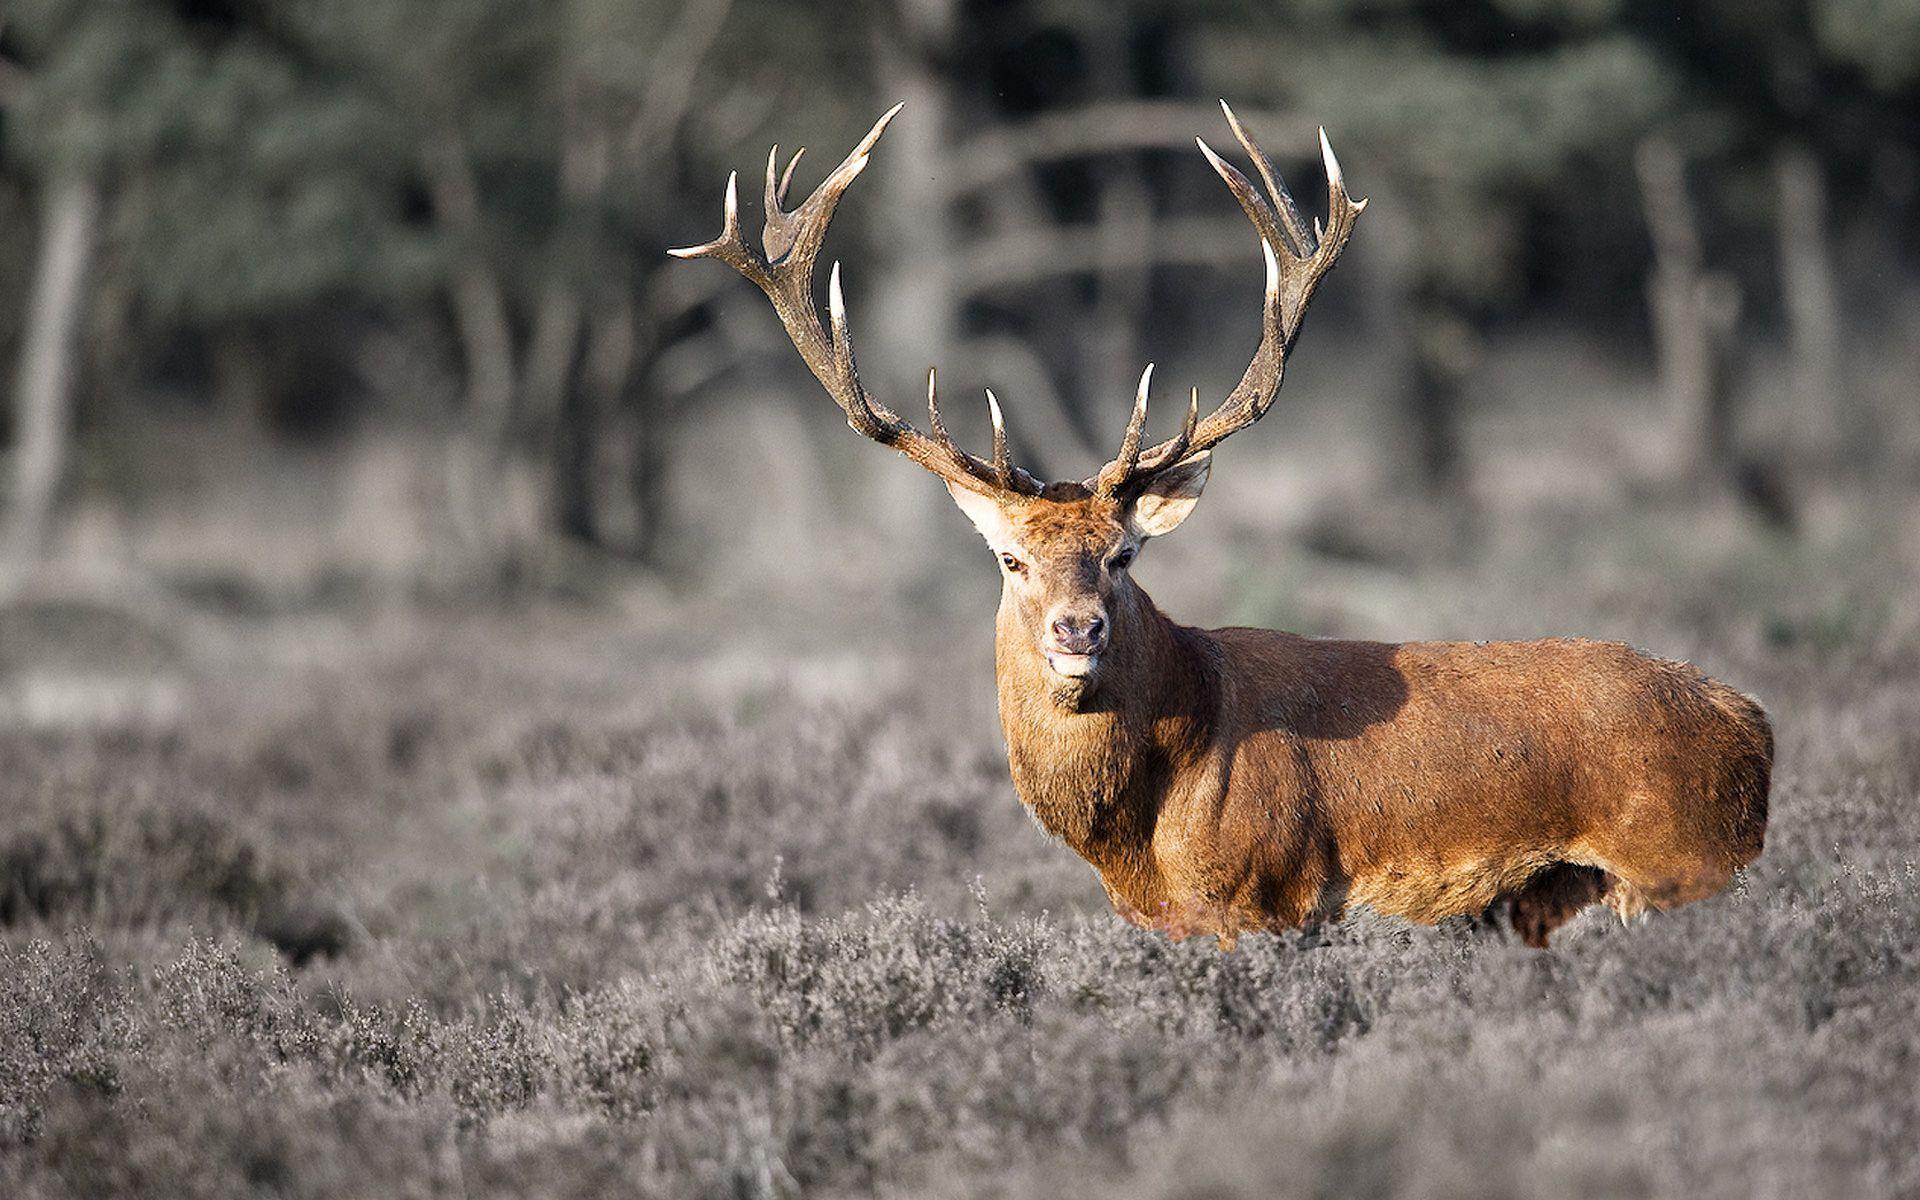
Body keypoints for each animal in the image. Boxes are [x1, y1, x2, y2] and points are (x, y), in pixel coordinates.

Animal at [670, 103, 1772, 949]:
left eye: (1120, 556)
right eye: (1012, 559)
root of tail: (1752, 726)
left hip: (1680, 859)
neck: (1141, 834)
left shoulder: (1265, 896)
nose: (1078, 629)